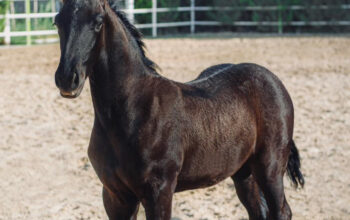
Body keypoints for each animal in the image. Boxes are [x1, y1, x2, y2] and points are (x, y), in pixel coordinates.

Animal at [53, 0, 302, 219]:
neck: (132, 109)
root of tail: (273, 80)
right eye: (57, 21)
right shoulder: (115, 195)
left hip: (270, 168)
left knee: (281, 211)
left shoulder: (159, 191)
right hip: (243, 173)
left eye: (98, 22)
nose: (67, 78)